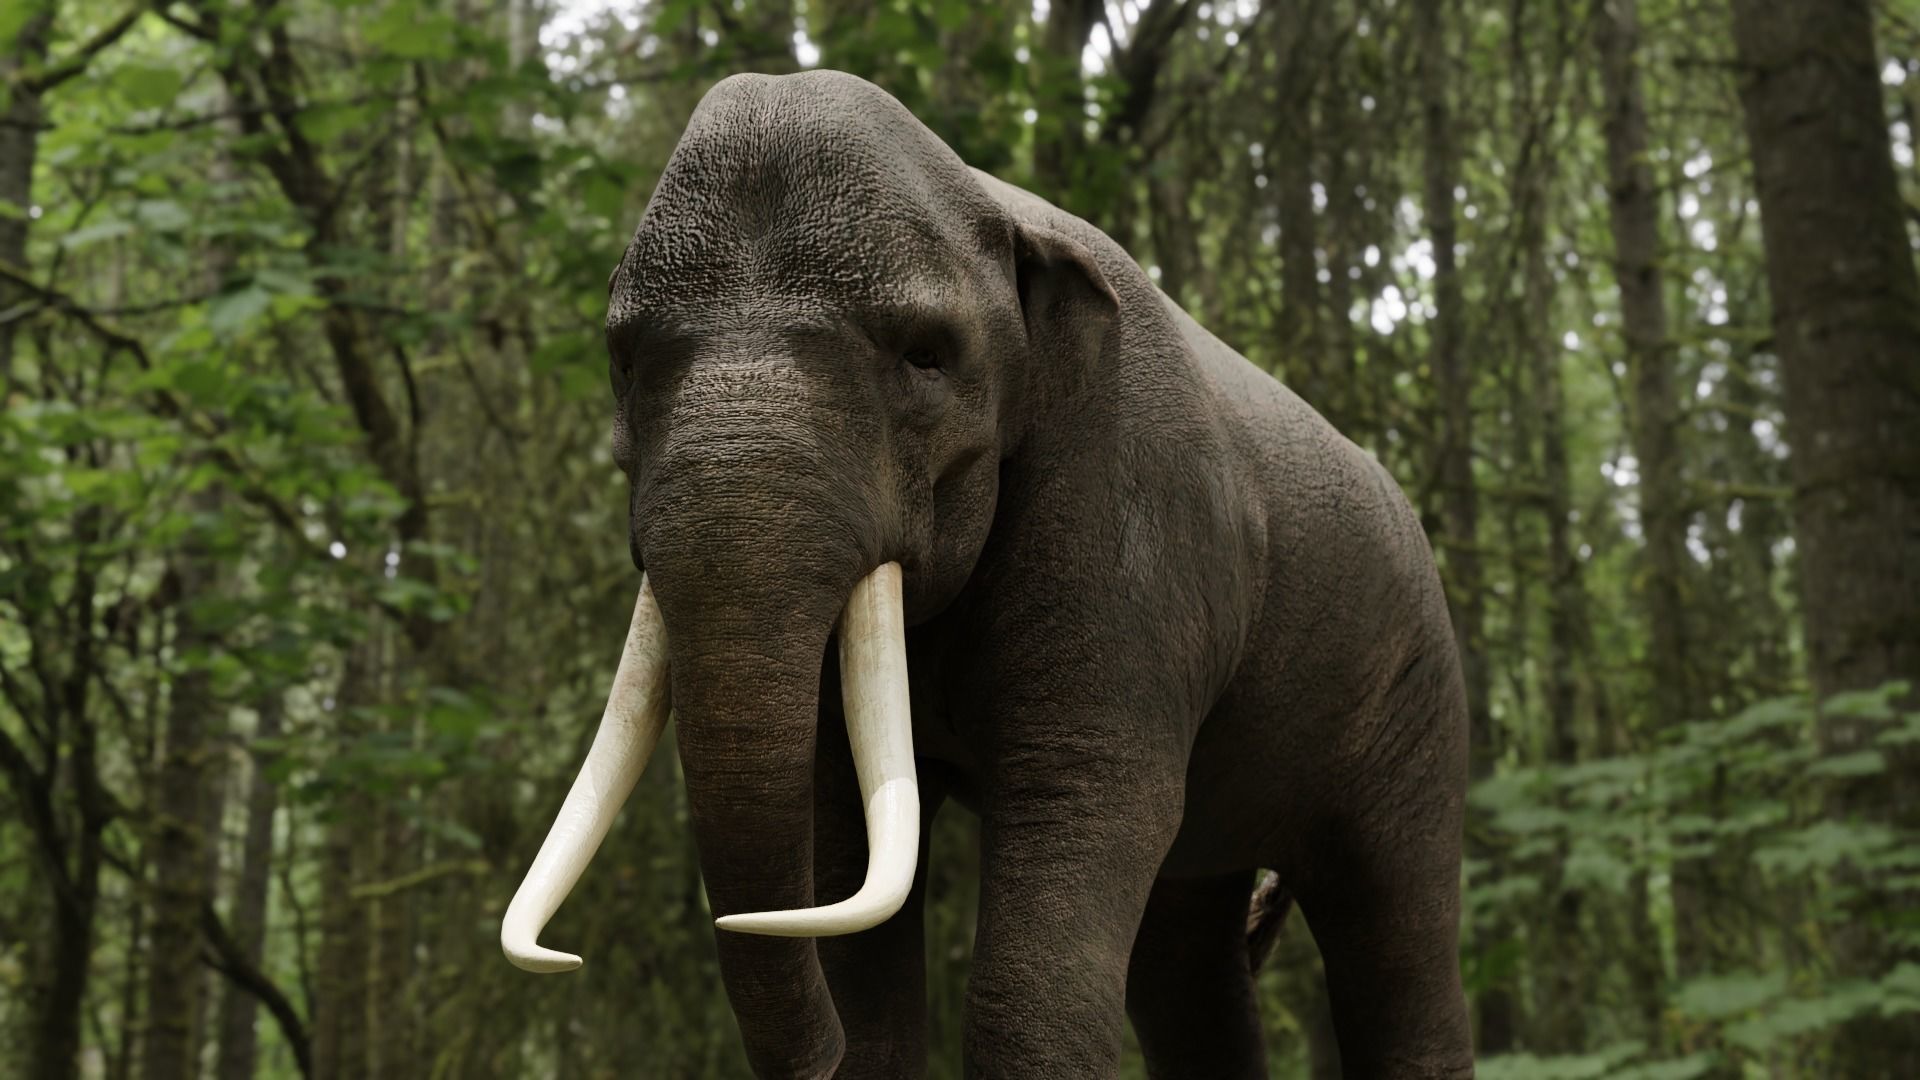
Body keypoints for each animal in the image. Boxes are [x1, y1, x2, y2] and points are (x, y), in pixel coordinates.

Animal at [501, 70, 1474, 1080]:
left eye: (925, 354)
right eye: (623, 362)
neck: (984, 196)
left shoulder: (1135, 517)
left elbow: (1075, 805)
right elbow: (839, 827)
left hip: (1416, 707)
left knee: (1395, 936)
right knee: (1186, 955)